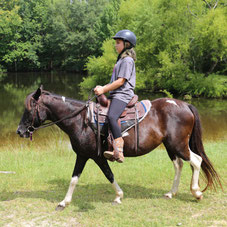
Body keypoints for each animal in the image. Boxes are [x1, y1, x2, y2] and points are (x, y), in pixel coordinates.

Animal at [16, 86, 223, 209]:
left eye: (29, 109)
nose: (20, 131)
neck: (81, 120)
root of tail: (185, 105)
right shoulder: (89, 156)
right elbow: (94, 176)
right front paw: (117, 196)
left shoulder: (89, 156)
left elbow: (93, 176)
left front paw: (64, 202)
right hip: (170, 145)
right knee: (179, 165)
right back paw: (171, 192)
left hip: (178, 145)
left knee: (196, 160)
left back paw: (196, 192)